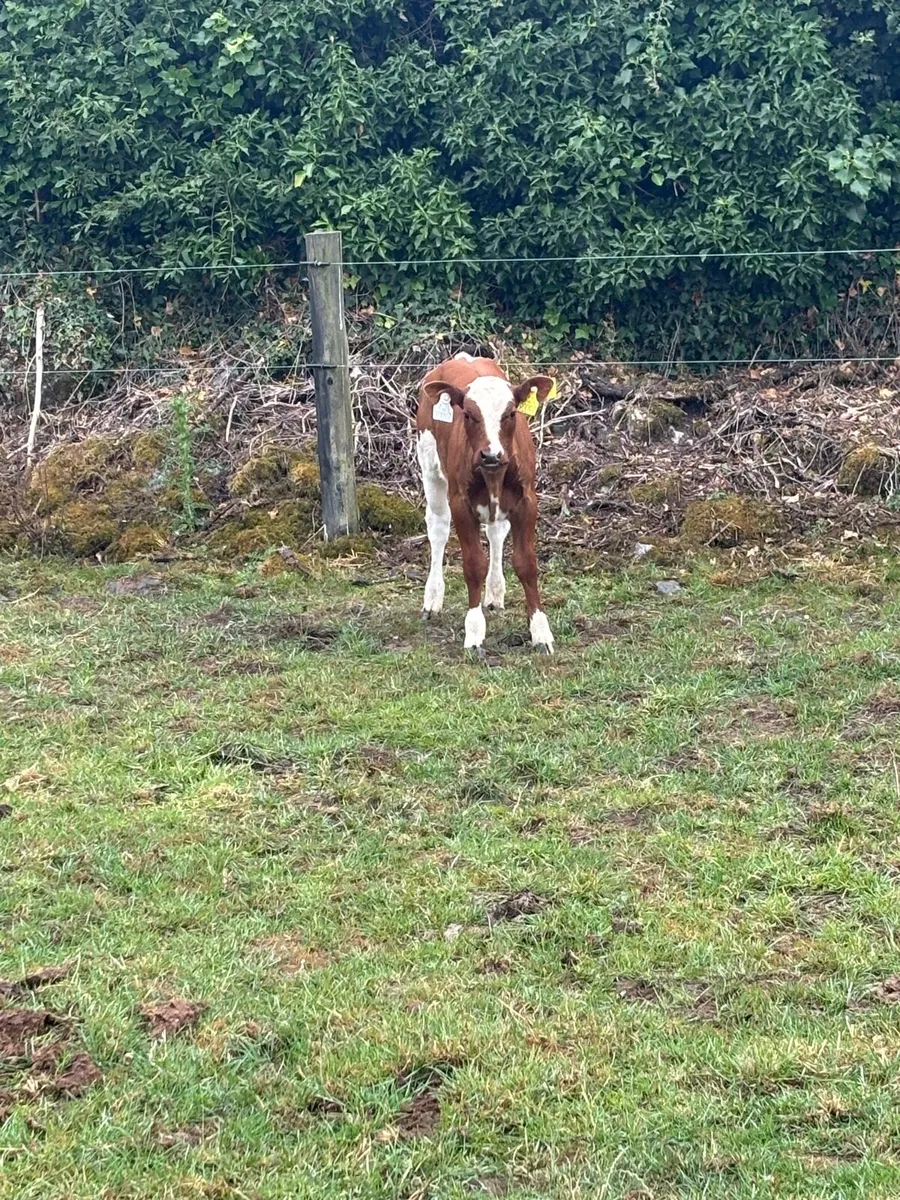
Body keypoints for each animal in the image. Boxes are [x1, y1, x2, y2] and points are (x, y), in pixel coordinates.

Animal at [415, 353, 555, 655]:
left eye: (511, 413)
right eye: (468, 414)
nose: (491, 455)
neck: (492, 475)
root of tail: (462, 358)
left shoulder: (527, 501)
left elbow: (526, 563)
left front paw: (540, 631)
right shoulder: (461, 504)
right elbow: (473, 565)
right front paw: (475, 631)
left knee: (496, 532)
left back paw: (494, 592)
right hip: (429, 465)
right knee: (438, 528)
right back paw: (433, 598)